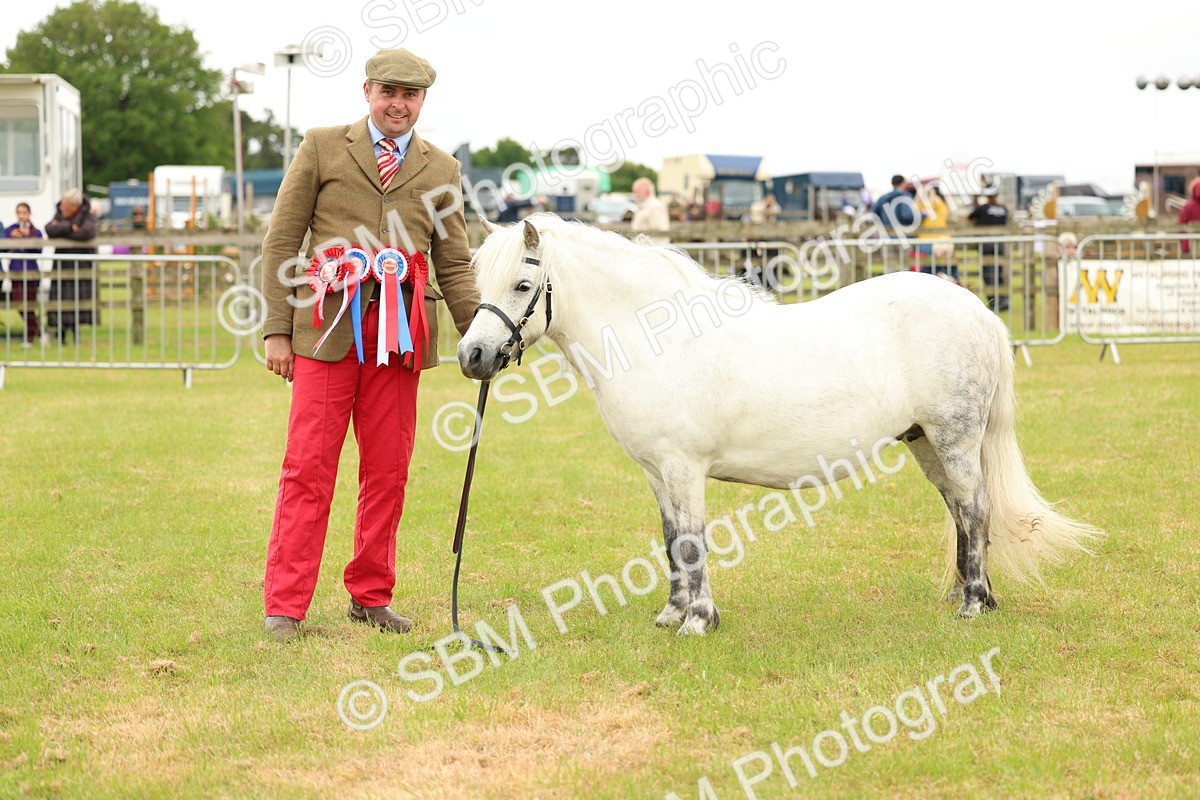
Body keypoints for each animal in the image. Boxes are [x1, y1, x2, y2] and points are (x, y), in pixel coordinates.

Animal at [458, 214, 1101, 636]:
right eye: (479, 280)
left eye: (522, 284)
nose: (472, 357)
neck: (659, 339)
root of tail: (976, 308)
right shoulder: (659, 473)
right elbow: (670, 540)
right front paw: (670, 614)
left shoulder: (684, 469)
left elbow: (691, 541)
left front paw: (698, 621)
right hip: (926, 443)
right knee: (961, 513)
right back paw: (965, 594)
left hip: (956, 438)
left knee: (975, 508)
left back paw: (973, 603)